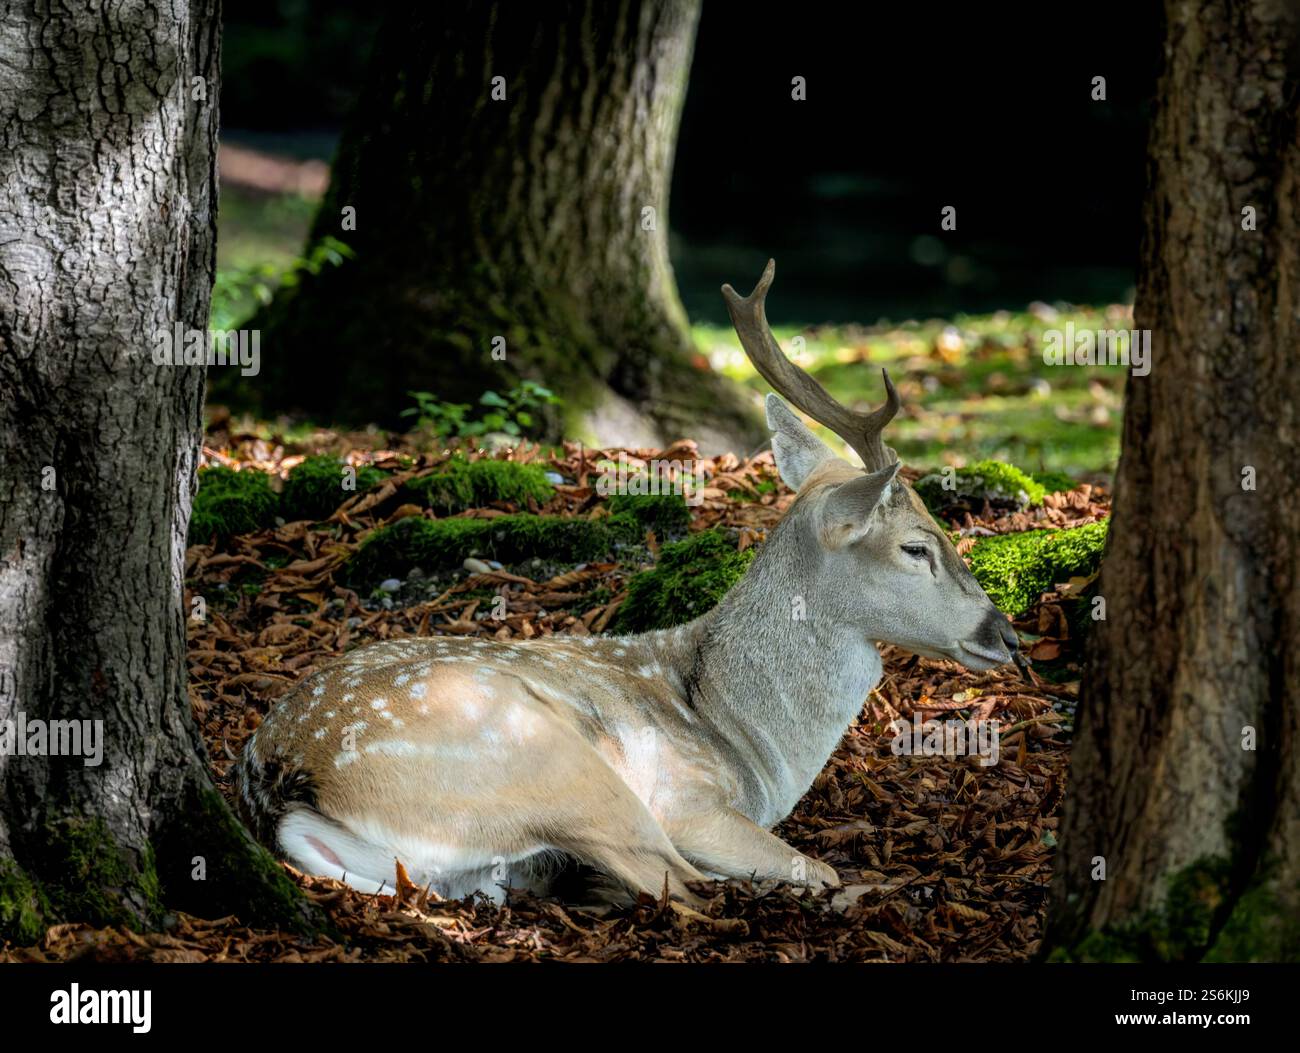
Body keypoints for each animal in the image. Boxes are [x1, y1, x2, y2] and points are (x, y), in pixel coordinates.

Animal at [235, 260, 1019, 906]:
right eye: (916, 546)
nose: (1006, 634)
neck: (746, 739)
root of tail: (288, 778)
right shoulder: (690, 799)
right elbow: (805, 867)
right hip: (557, 762)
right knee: (680, 883)